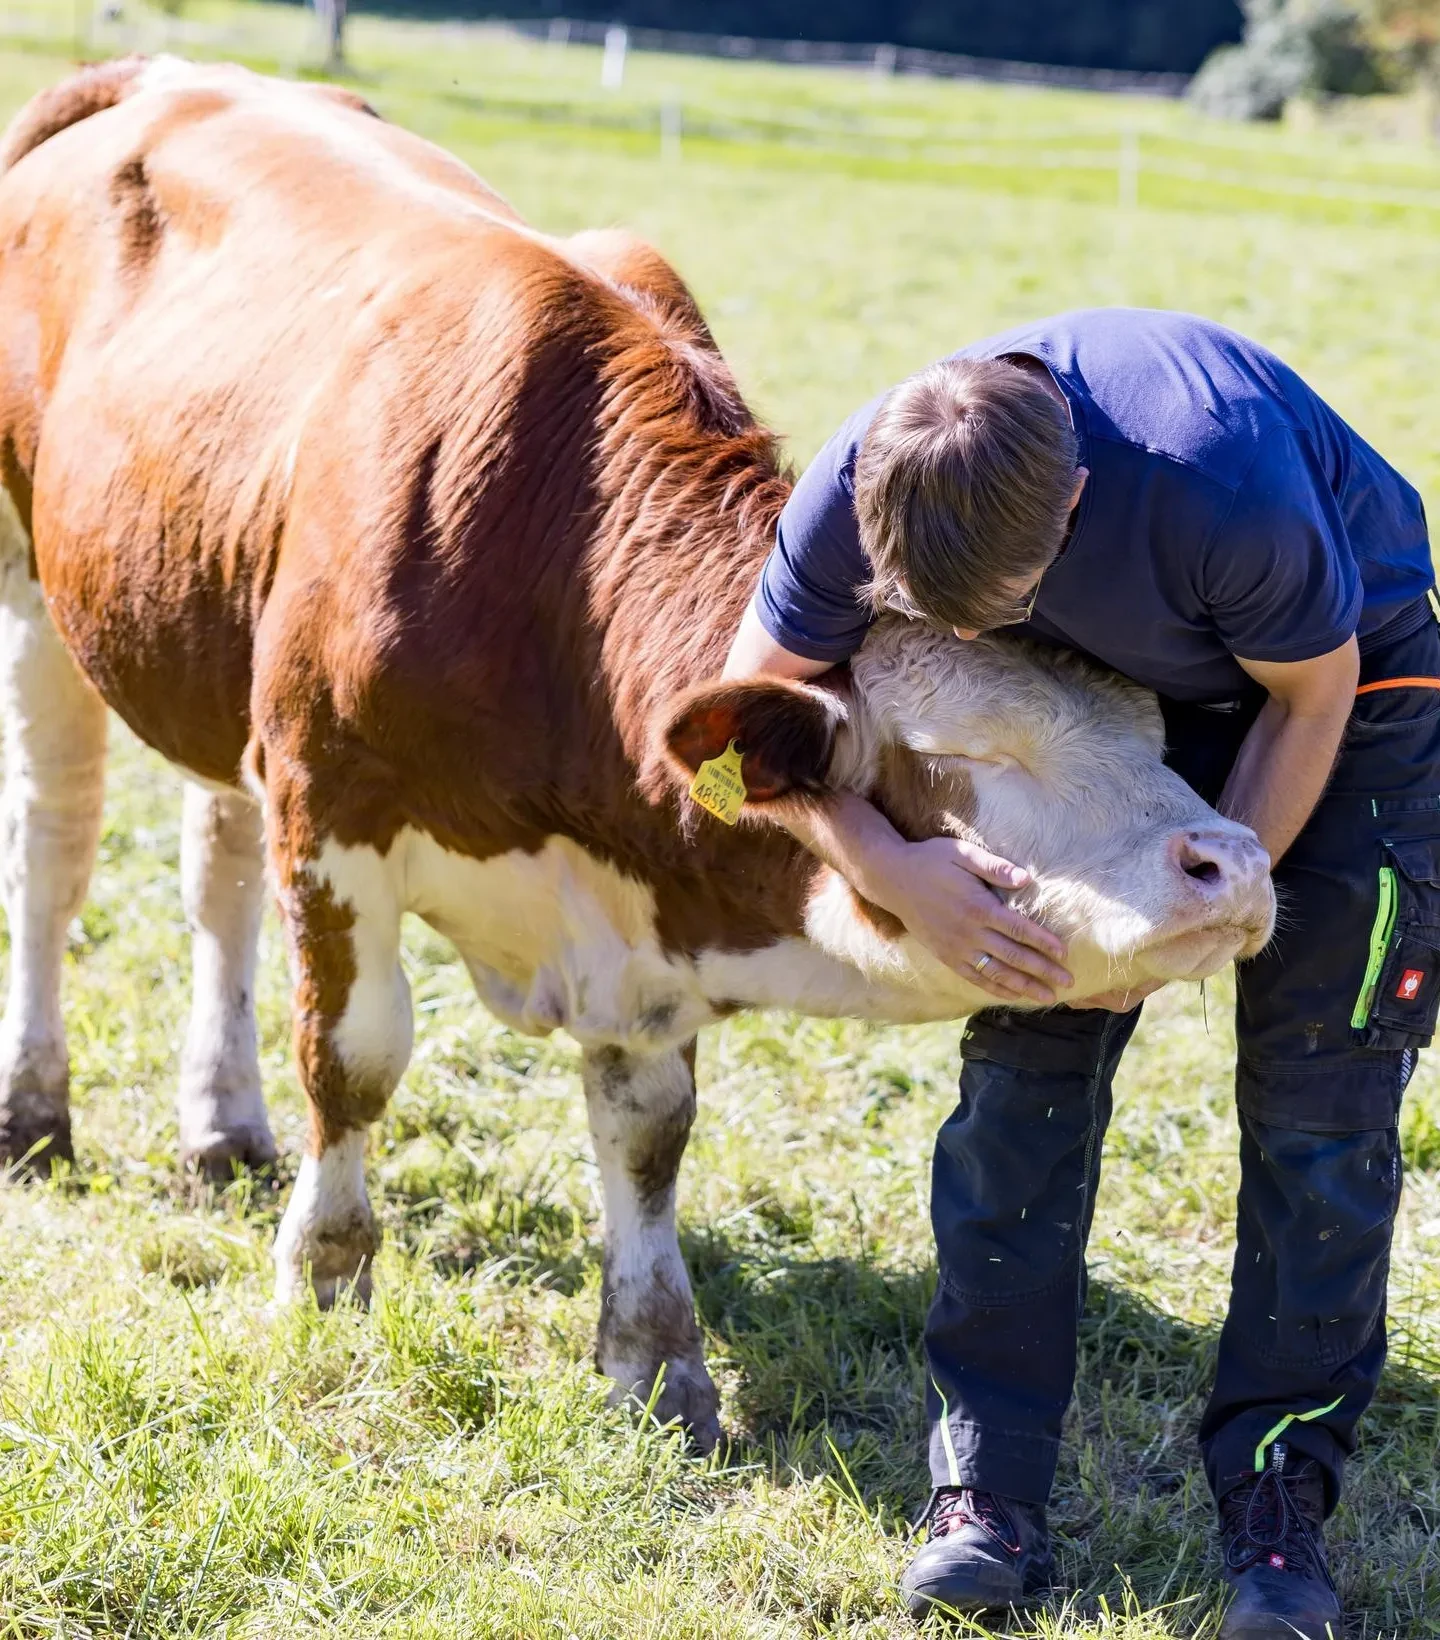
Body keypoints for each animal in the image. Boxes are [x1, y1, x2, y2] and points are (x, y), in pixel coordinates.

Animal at [0, 59, 1273, 1445]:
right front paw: (324, 1279)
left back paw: (223, 1125)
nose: (1233, 864)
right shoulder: (330, 805)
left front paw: (660, 1364)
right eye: (966, 752)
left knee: (218, 878)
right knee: (54, 854)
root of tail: (174, 71)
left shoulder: (634, 912)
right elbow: (357, 1056)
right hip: (31, 585)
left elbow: (648, 1126)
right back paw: (37, 1112)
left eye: (1157, 726)